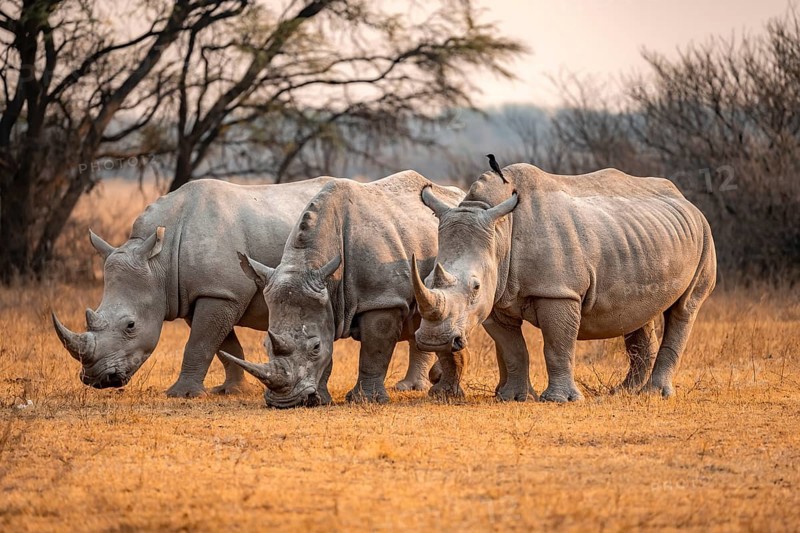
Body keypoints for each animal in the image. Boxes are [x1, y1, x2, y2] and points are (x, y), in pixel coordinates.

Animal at [51, 177, 436, 398]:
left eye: (130, 326)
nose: (96, 380)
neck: (158, 260)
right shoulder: (201, 292)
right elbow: (223, 344)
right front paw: (229, 390)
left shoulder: (219, 291)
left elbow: (201, 342)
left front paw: (181, 395)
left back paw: (408, 388)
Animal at [218, 170, 465, 407]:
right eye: (265, 345)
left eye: (315, 347)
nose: (284, 403)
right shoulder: (325, 299)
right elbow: (329, 354)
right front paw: (321, 400)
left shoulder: (382, 299)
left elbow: (374, 351)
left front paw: (366, 400)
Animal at [412, 162, 717, 401]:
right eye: (426, 279)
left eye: (475, 287)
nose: (434, 341)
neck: (500, 233)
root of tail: (687, 200)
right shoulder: (496, 297)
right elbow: (513, 349)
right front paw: (513, 397)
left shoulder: (558, 291)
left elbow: (557, 345)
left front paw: (559, 400)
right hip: (642, 241)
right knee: (638, 314)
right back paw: (623, 392)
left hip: (705, 236)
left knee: (685, 308)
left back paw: (655, 394)